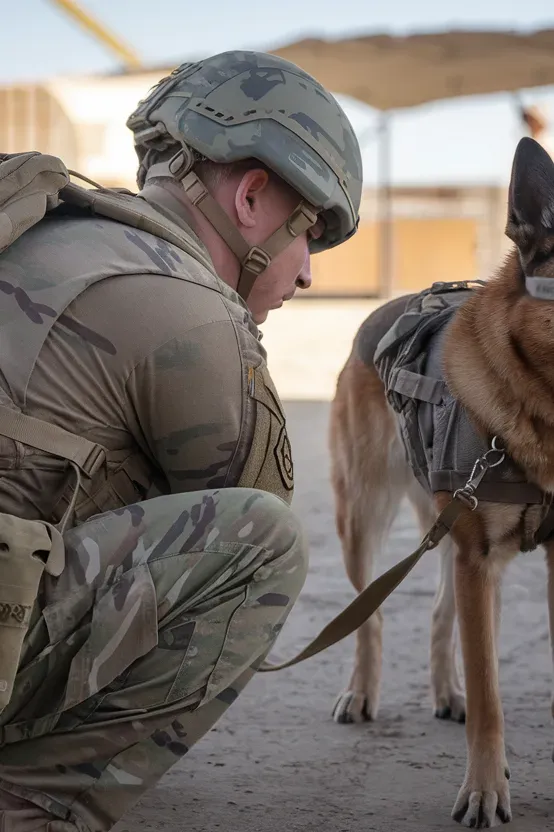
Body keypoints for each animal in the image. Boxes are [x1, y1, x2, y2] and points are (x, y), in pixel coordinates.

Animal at [328, 136, 554, 824]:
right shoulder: (474, 556)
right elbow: (490, 699)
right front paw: (484, 790)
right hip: (364, 521)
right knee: (371, 617)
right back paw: (362, 693)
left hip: (463, 549)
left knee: (440, 616)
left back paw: (448, 691)